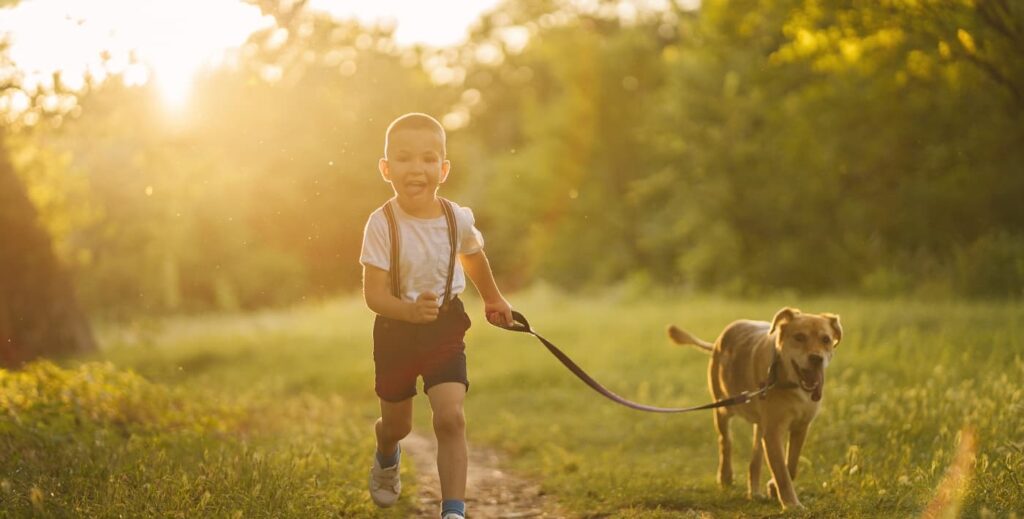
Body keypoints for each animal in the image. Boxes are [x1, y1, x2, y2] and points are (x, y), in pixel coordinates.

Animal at [667, 307, 843, 509]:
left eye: (826, 339)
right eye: (799, 337)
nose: (816, 358)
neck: (786, 379)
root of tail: (719, 341)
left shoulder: (801, 427)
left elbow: (790, 466)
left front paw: (773, 488)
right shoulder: (773, 431)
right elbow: (781, 471)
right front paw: (791, 504)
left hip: (760, 425)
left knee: (755, 459)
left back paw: (755, 492)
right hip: (723, 406)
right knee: (725, 441)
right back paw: (725, 476)